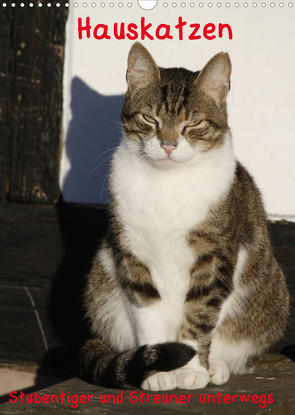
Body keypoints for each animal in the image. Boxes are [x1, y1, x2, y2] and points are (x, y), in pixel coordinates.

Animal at [80, 44, 290, 392]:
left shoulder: (214, 257)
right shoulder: (133, 252)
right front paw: (158, 370)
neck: (167, 182)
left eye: (192, 124)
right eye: (149, 118)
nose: (168, 144)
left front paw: (191, 369)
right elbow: (147, 310)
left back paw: (215, 365)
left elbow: (200, 312)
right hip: (102, 289)